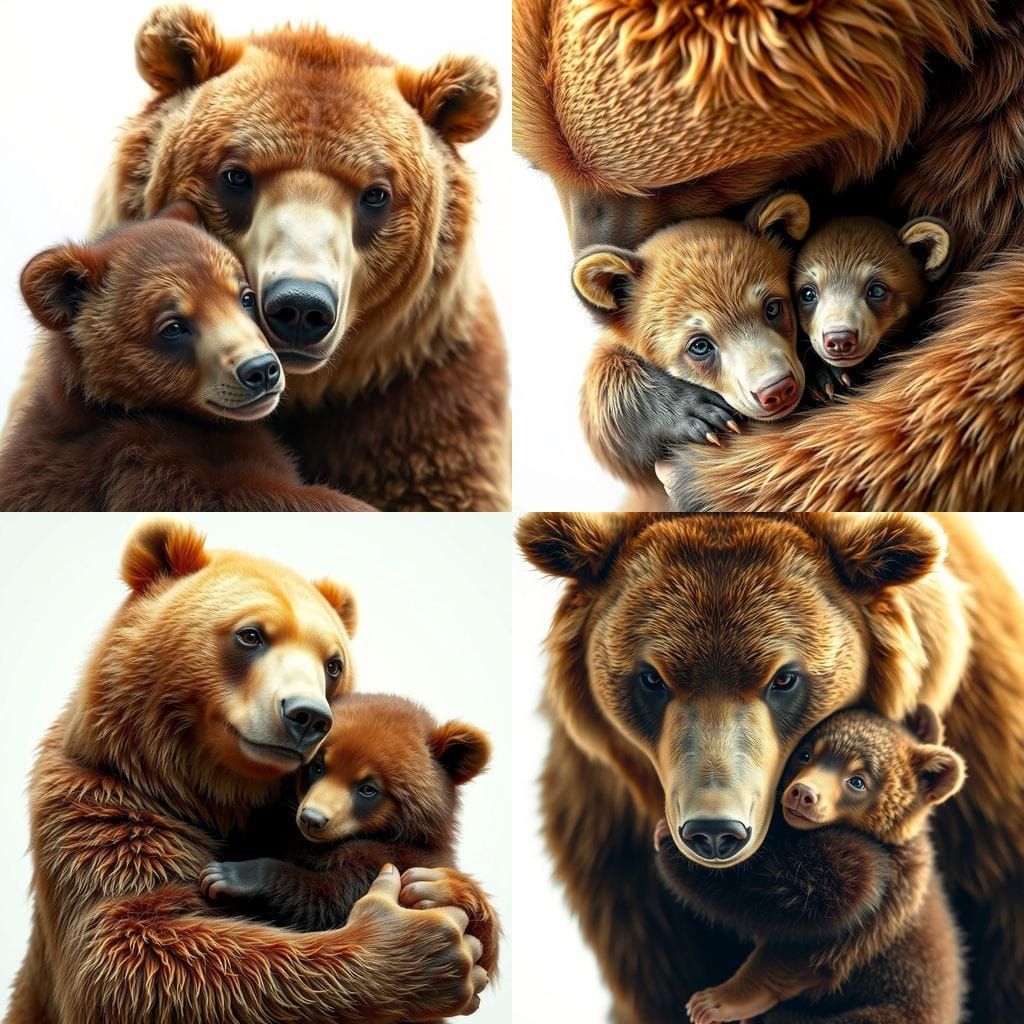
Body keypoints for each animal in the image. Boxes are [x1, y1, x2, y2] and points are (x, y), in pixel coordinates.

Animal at [199, 692, 499, 976]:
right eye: (317, 767)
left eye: (368, 789)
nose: (312, 818)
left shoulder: (390, 859)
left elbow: (324, 899)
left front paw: (232, 876)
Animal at [678, 705, 966, 1024]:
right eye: (805, 754)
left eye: (857, 781)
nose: (803, 793)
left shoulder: (884, 893)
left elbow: (804, 941)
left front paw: (715, 1002)